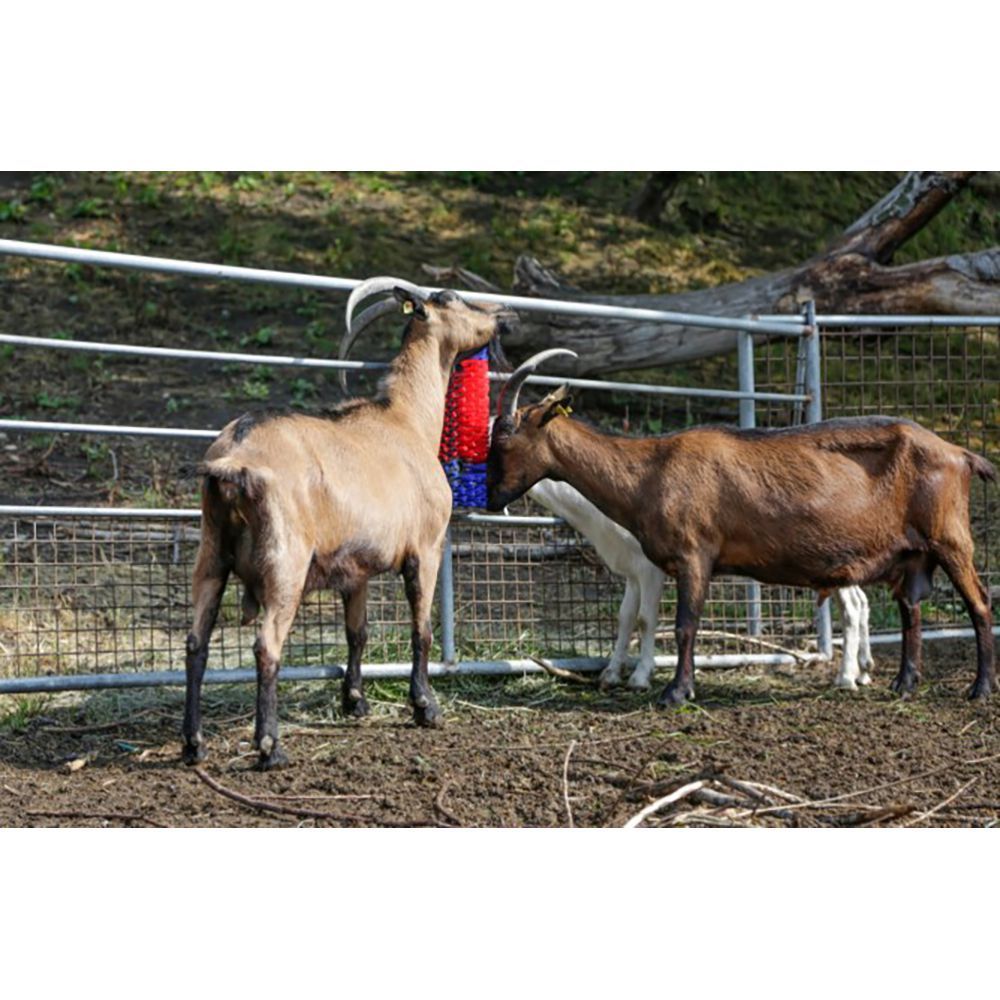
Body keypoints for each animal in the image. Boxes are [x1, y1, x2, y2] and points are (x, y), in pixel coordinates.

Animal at [182, 277, 515, 769]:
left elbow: (357, 632)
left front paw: (355, 700)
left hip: (211, 551)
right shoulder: (426, 548)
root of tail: (234, 459)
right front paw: (425, 707)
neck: (406, 420)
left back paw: (194, 743)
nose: (505, 315)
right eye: (452, 297)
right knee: (266, 645)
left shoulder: (355, 567)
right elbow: (422, 629)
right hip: (285, 561)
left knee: (195, 642)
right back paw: (270, 746)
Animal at [528, 477, 875, 691]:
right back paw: (864, 669)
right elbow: (625, 617)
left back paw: (845, 678)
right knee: (861, 601)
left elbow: (645, 619)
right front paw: (610, 674)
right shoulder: (630, 570)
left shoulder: (650, 568)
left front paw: (640, 677)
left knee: (852, 607)